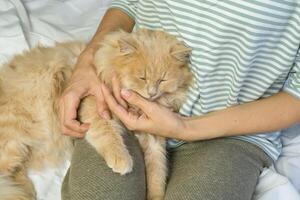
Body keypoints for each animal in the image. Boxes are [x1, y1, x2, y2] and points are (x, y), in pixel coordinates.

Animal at [0, 28, 193, 200]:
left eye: (162, 80)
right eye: (142, 77)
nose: (152, 93)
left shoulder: (154, 139)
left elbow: (157, 172)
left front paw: (155, 196)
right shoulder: (94, 108)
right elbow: (108, 135)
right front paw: (122, 160)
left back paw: (25, 192)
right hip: (14, 138)